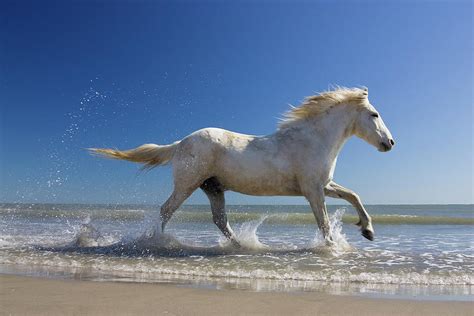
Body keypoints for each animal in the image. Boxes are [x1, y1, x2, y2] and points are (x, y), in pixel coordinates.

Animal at [89, 87, 392, 246]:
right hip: (187, 184)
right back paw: (157, 242)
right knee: (166, 210)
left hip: (213, 188)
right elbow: (325, 223)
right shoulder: (313, 191)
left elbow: (354, 196)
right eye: (374, 114)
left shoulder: (323, 185)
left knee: (220, 220)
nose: (390, 142)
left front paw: (367, 230)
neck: (312, 139)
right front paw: (333, 248)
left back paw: (240, 246)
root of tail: (181, 142)